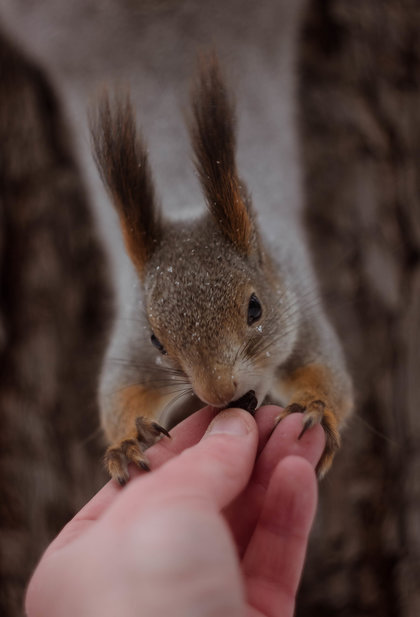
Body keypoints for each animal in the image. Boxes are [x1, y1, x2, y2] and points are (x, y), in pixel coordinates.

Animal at [90, 55, 352, 484]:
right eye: (155, 340)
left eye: (256, 308)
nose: (217, 393)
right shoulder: (132, 348)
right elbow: (121, 390)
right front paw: (128, 442)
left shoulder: (299, 315)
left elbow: (324, 371)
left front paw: (314, 406)